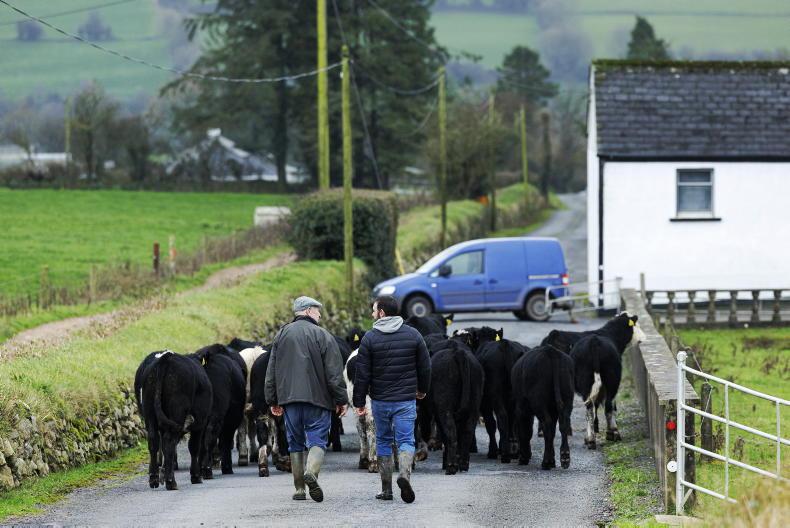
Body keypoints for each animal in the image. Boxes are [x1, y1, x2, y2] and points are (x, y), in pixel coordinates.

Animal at [139, 350, 212, 490]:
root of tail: (165, 358)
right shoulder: (200, 422)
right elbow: (194, 447)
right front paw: (195, 476)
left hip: (150, 413)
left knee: (154, 442)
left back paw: (154, 478)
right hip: (177, 412)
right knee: (169, 442)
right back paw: (170, 481)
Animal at [191, 344, 246, 478]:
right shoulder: (232, 420)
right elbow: (225, 442)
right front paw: (227, 467)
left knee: (200, 440)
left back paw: (200, 469)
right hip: (218, 415)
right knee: (211, 437)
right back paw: (207, 469)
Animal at [430, 339, 484, 475]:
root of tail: (457, 352)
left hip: (445, 408)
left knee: (451, 433)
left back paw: (450, 466)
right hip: (474, 406)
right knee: (467, 432)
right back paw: (463, 464)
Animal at [569, 313, 645, 449]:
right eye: (637, 325)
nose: (643, 338)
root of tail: (594, 343)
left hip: (591, 383)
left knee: (592, 409)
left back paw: (593, 439)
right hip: (611, 380)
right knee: (607, 405)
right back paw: (610, 434)